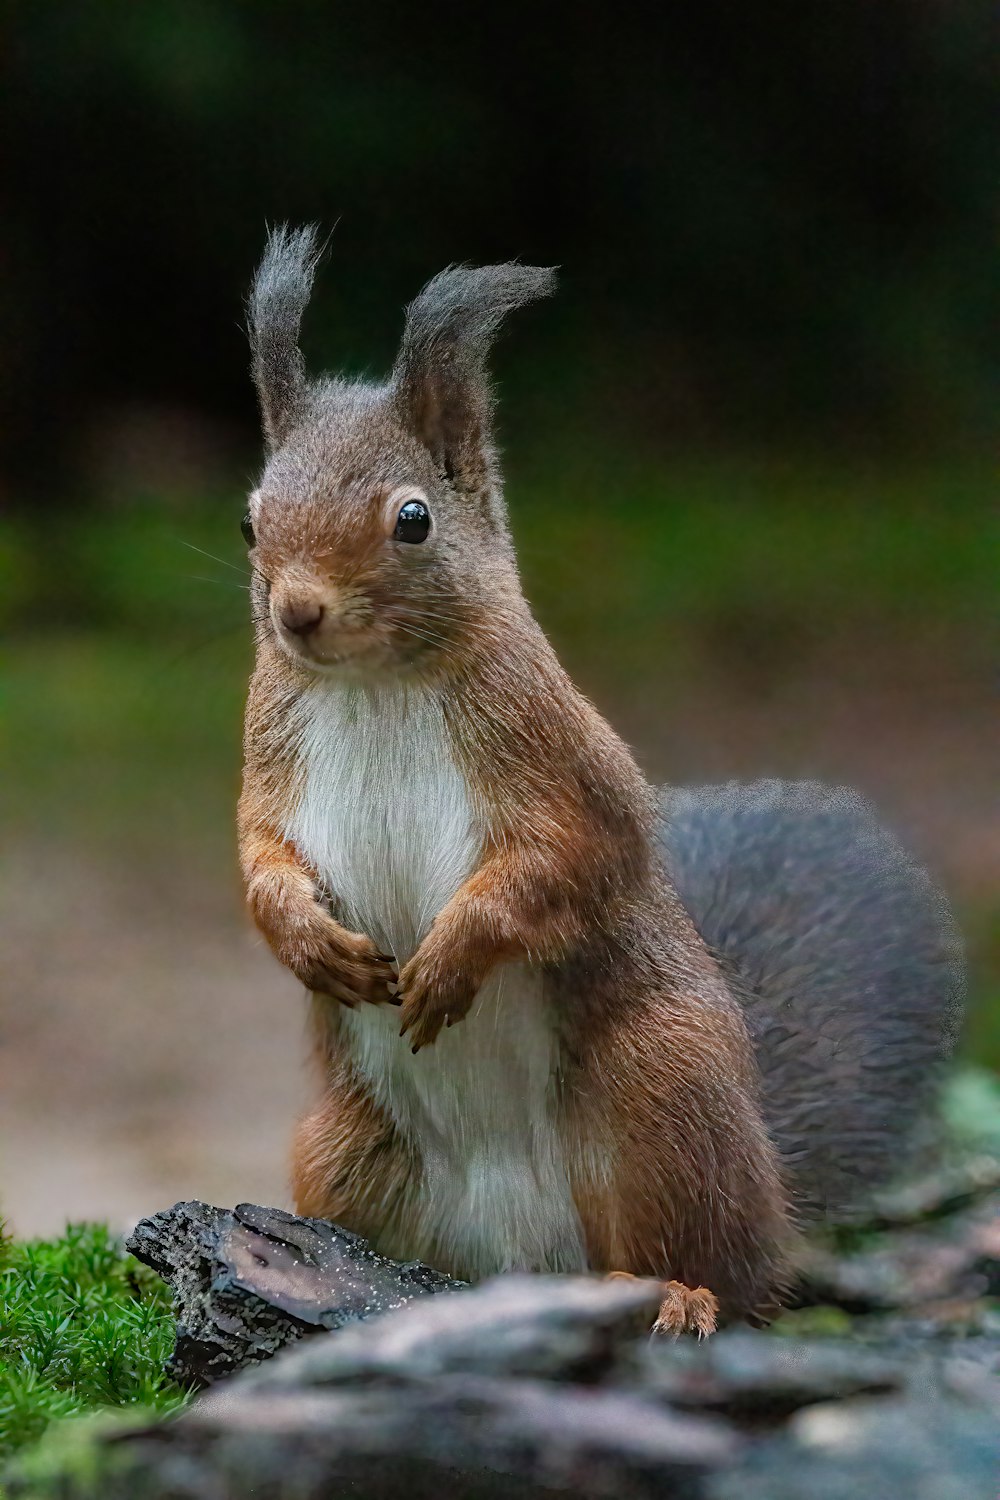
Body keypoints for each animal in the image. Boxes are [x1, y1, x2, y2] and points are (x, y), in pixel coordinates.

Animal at [238, 231, 965, 1338]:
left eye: (413, 520)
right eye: (250, 522)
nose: (298, 613)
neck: (373, 684)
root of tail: (520, 1256)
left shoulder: (559, 759)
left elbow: (568, 860)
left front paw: (451, 956)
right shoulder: (269, 754)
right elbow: (257, 858)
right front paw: (305, 938)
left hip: (663, 1093)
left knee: (722, 1266)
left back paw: (676, 1292)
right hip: (339, 1147)